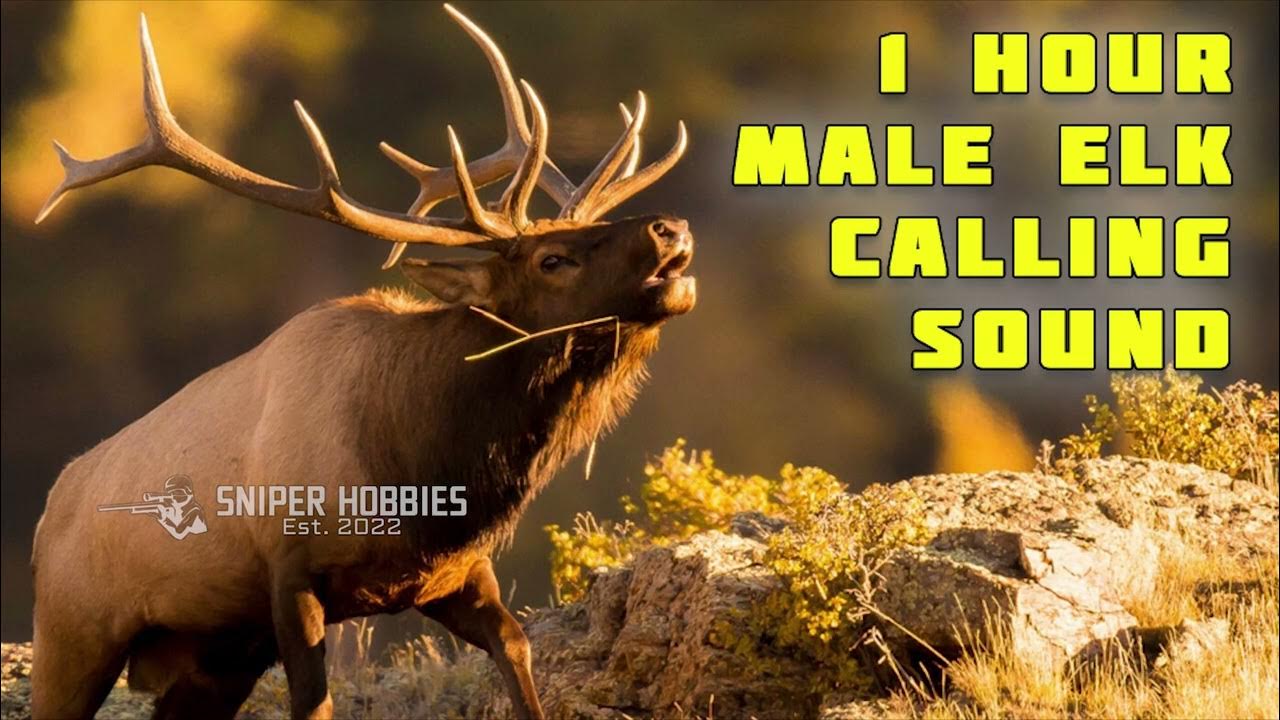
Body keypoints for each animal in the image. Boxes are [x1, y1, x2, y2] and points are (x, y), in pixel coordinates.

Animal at [30, 6, 693, 720]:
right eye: (552, 259)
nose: (670, 227)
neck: (420, 473)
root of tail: (43, 519)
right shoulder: (290, 570)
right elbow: (313, 702)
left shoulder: (457, 576)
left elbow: (519, 655)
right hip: (72, 633)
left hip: (215, 656)